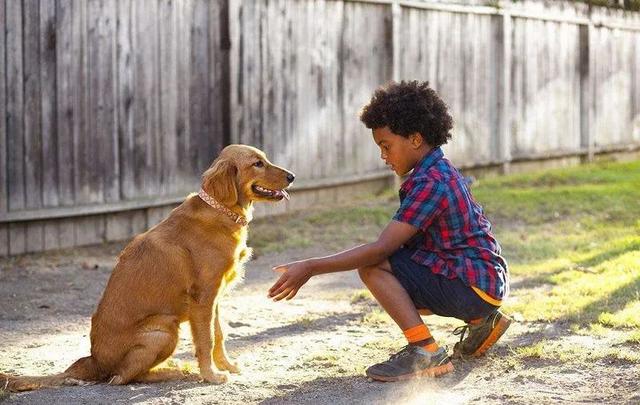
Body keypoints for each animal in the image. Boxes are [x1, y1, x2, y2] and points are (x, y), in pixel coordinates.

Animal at [0, 144, 294, 390]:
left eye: (264, 159)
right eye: (257, 164)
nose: (292, 176)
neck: (221, 210)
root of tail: (93, 361)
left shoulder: (215, 297)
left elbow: (219, 335)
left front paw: (227, 366)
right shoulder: (203, 298)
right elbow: (206, 339)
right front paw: (210, 375)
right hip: (163, 330)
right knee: (121, 378)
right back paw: (174, 371)